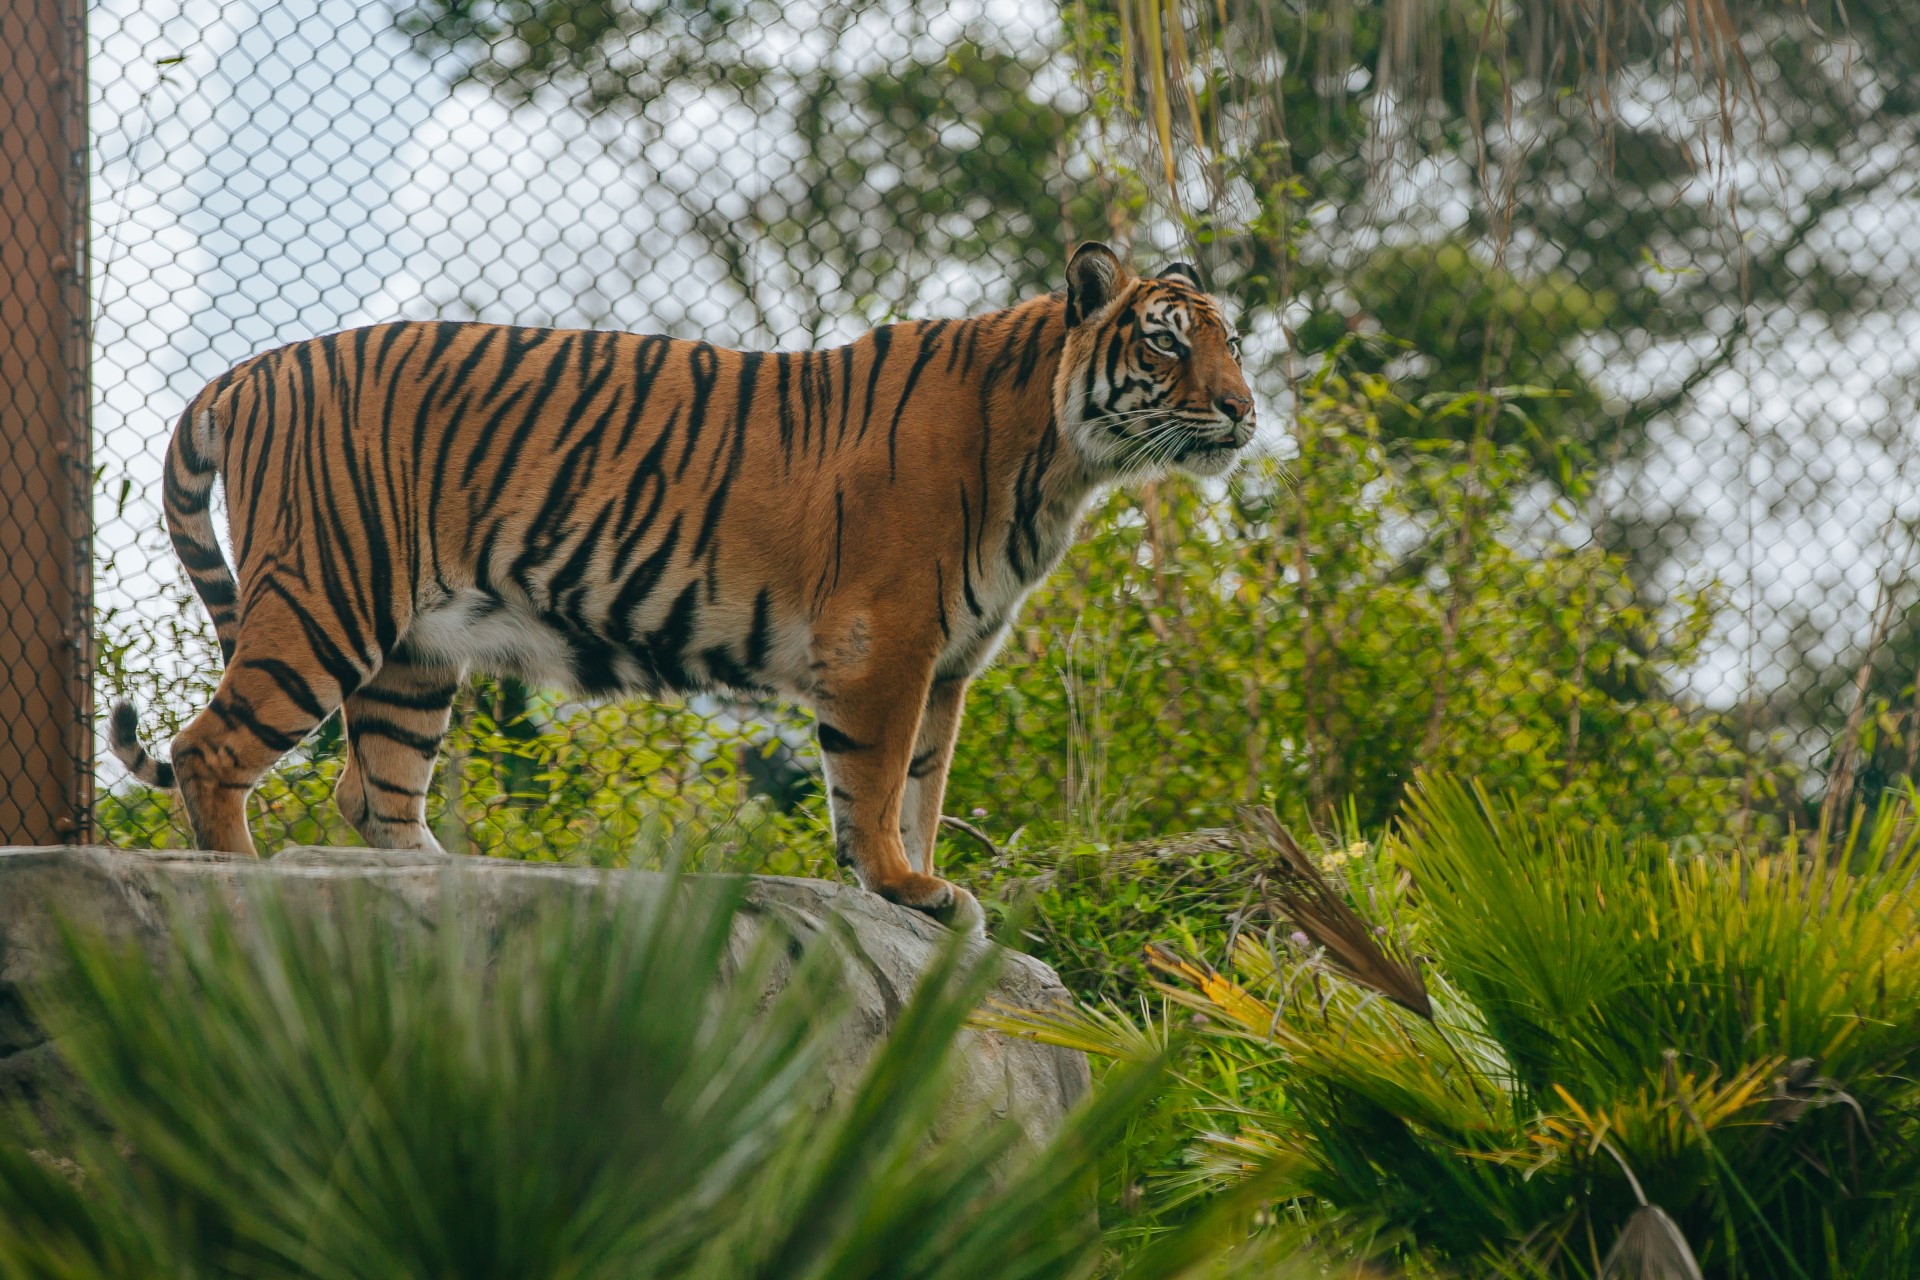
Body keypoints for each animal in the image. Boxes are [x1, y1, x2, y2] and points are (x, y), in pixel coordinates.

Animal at [109, 241, 1255, 931]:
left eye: (1232, 342)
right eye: (1165, 341)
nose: (1246, 409)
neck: (1058, 465)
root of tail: (251, 368)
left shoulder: (949, 664)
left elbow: (926, 783)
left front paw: (930, 895)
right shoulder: (885, 643)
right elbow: (877, 783)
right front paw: (898, 883)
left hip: (415, 652)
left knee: (373, 787)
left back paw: (438, 881)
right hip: (326, 600)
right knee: (208, 751)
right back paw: (246, 888)